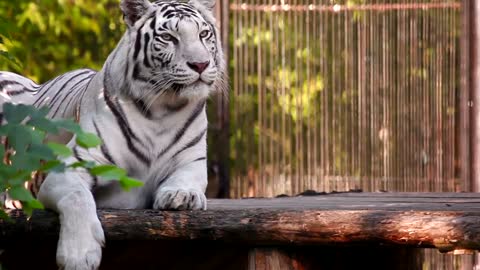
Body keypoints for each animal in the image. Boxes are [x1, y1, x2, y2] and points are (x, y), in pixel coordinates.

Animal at [0, 0, 226, 268]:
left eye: (204, 34)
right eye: (168, 37)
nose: (201, 65)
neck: (162, 112)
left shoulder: (192, 162)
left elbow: (186, 180)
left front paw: (181, 195)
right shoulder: (67, 169)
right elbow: (78, 196)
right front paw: (79, 255)